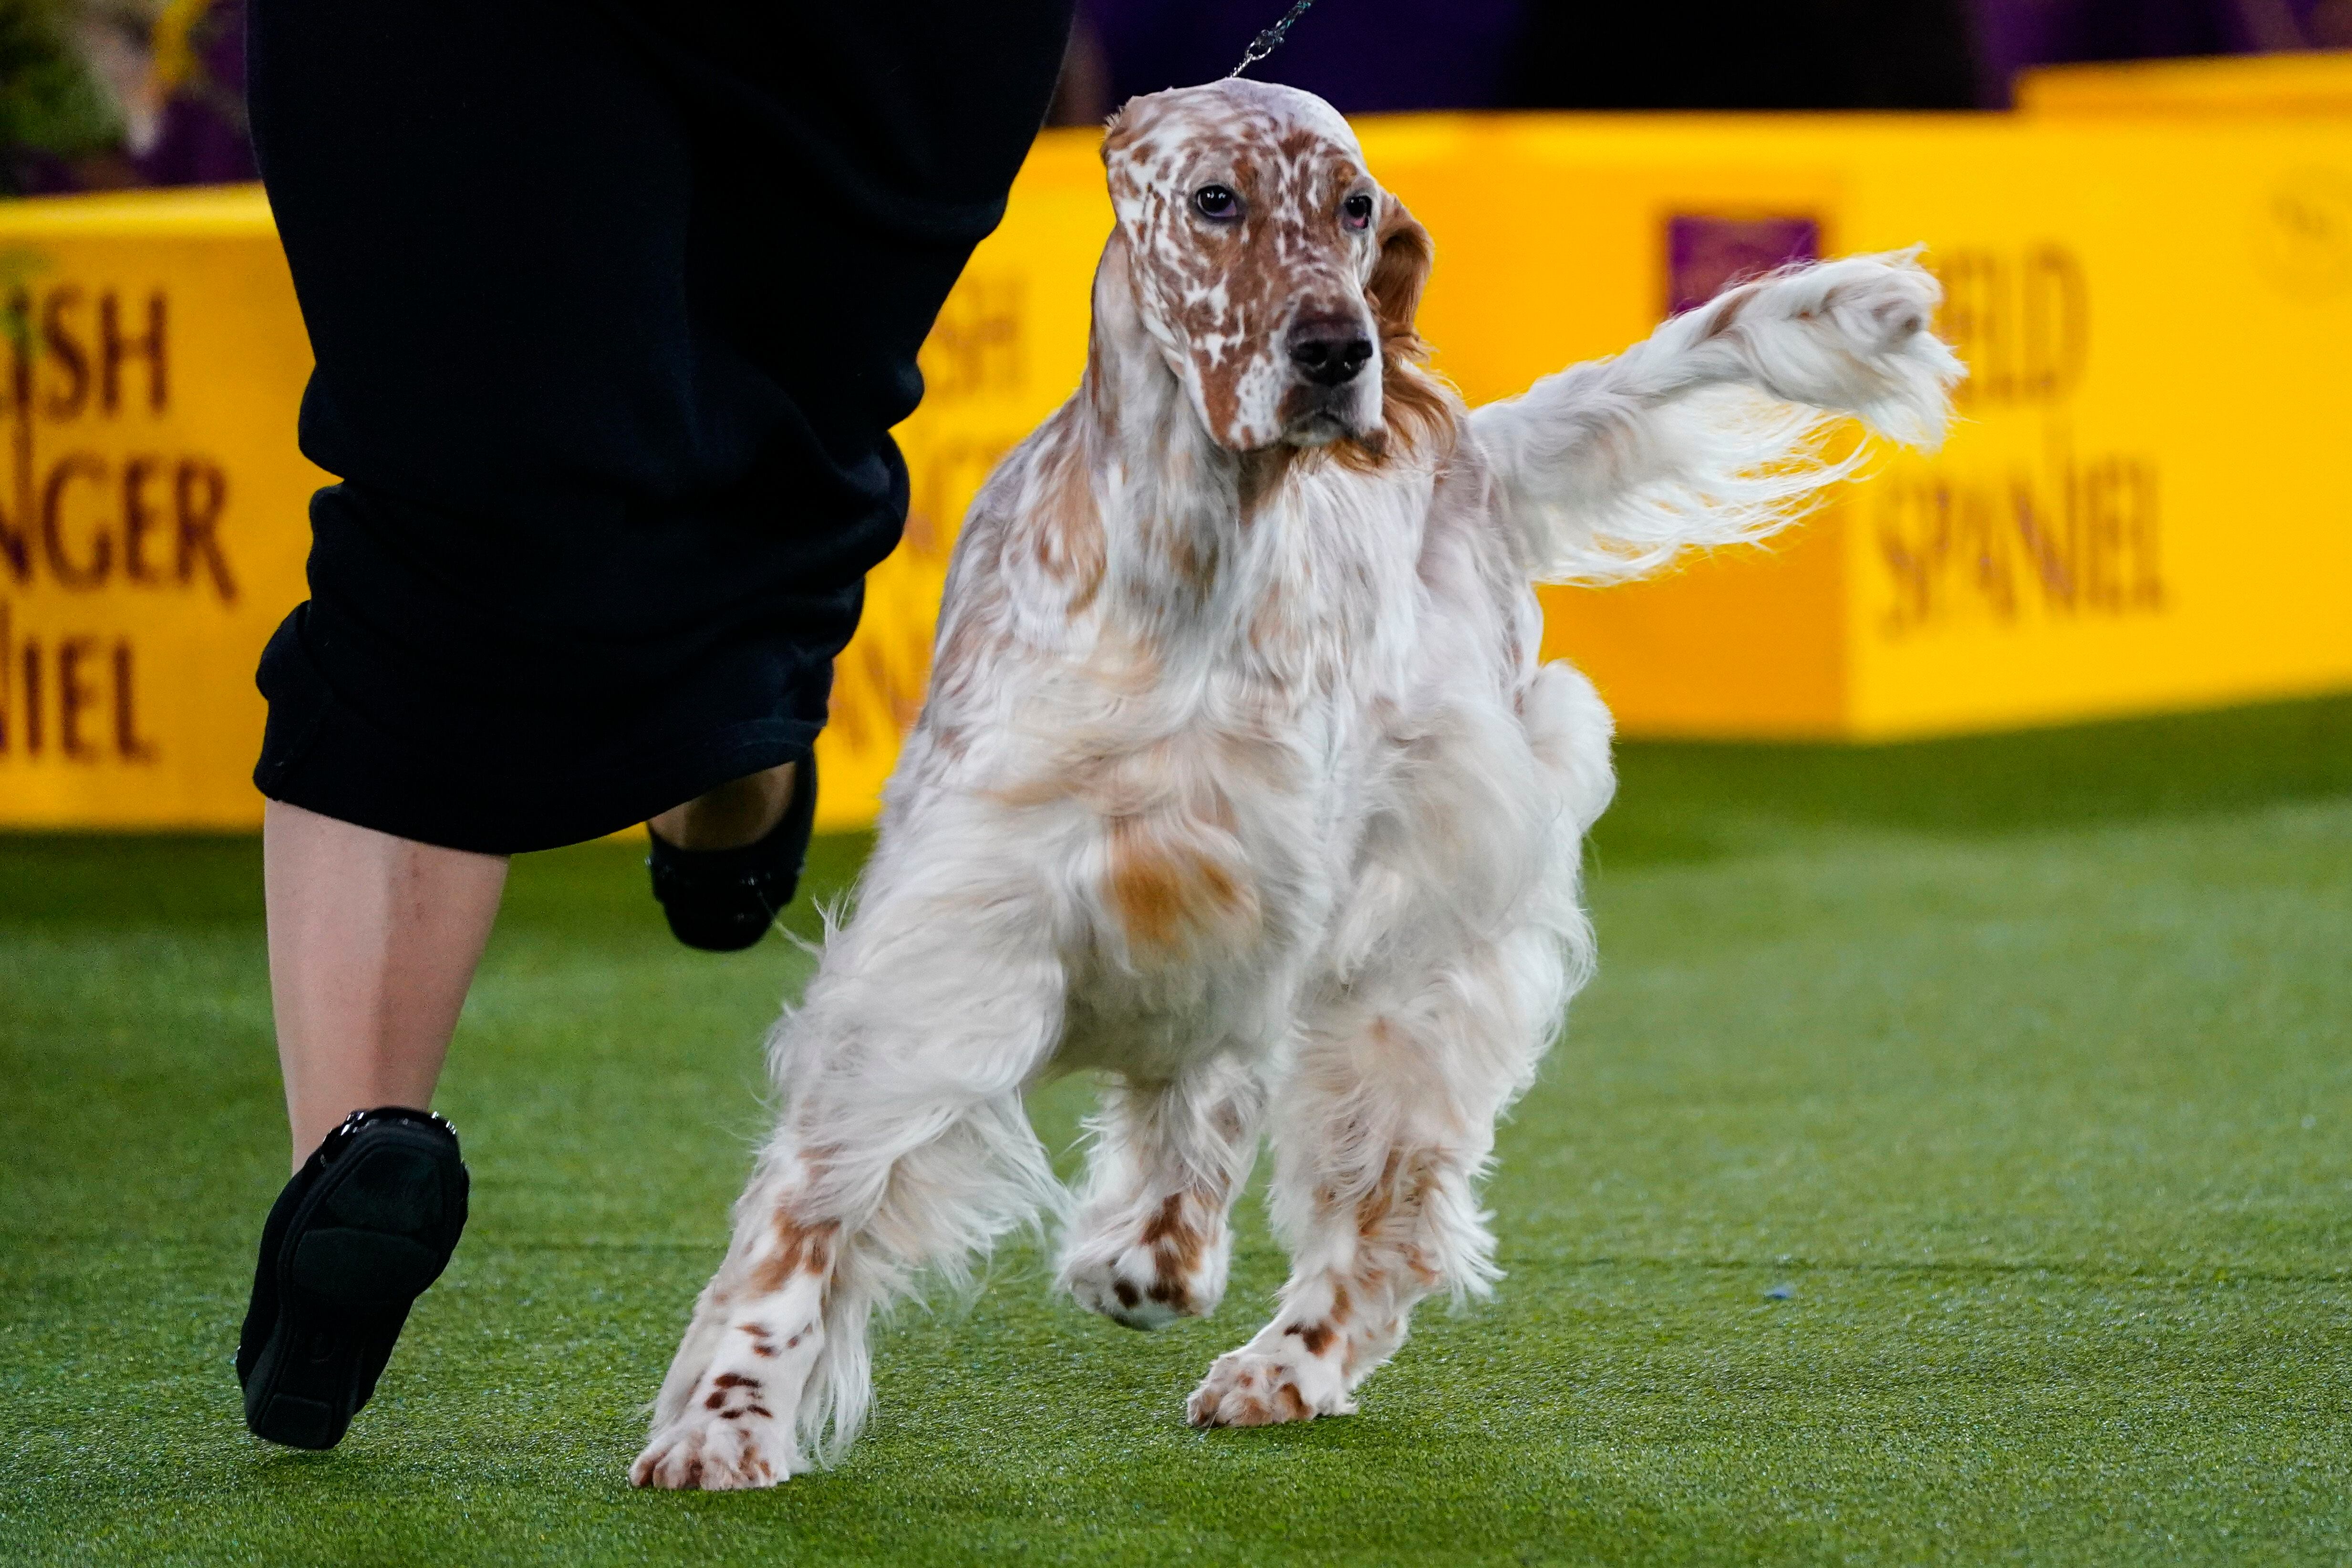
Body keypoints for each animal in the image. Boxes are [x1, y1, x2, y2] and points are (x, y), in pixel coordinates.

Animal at [630, 80, 1966, 1495]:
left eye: (1354, 206)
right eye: (1214, 200)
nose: (1338, 351)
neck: (1180, 574)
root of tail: (1470, 450)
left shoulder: (1274, 902)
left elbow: (1206, 1113)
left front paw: (1145, 1261)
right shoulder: (959, 921)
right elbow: (815, 1202)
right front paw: (726, 1419)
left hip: (1422, 931)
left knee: (1388, 1193)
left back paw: (1285, 1362)